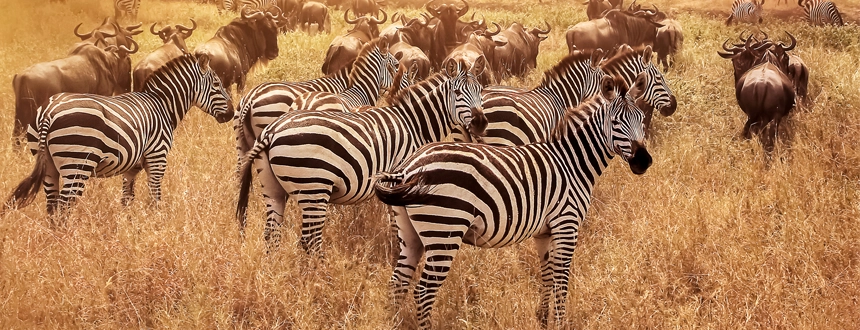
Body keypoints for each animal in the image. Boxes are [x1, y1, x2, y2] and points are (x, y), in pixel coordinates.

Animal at [5, 54, 232, 222]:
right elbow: (155, 197)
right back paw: (68, 243)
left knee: (52, 206)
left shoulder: (131, 168)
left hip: (48, 164)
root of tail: (49, 112)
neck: (162, 105)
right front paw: (156, 225)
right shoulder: (157, 158)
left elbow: (127, 199)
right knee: (64, 206)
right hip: (77, 164)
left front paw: (129, 227)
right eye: (217, 84)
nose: (231, 113)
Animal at [239, 64, 488, 255]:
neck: (413, 124)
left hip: (273, 188)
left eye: (481, 91)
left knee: (271, 233)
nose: (481, 123)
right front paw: (395, 250)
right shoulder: (400, 179)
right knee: (309, 240)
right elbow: (395, 223)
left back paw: (274, 269)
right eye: (457, 93)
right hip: (314, 188)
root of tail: (272, 131)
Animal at [376, 75, 652, 330]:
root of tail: (408, 167)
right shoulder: (566, 223)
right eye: (616, 122)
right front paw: (560, 322)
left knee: (397, 283)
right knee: (423, 291)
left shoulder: (544, 231)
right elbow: (562, 278)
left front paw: (543, 319)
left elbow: (547, 275)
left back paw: (394, 323)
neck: (571, 162)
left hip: (410, 233)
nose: (644, 162)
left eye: (641, 119)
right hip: (445, 229)